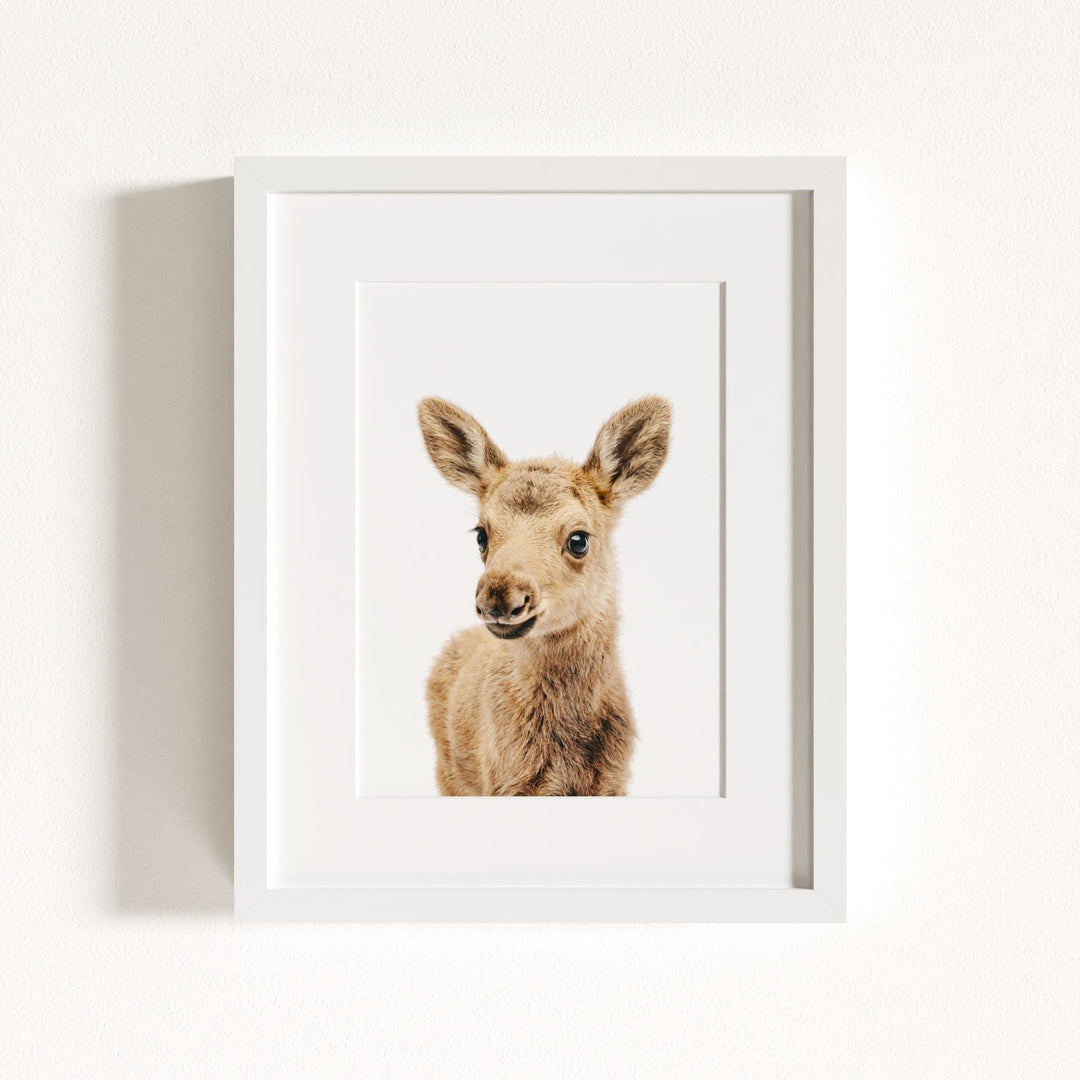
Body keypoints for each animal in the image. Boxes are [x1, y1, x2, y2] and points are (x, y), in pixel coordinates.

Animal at [417, 394, 671, 796]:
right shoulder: (504, 782)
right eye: (481, 534)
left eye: (579, 539)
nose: (499, 597)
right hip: (449, 773)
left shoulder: (613, 781)